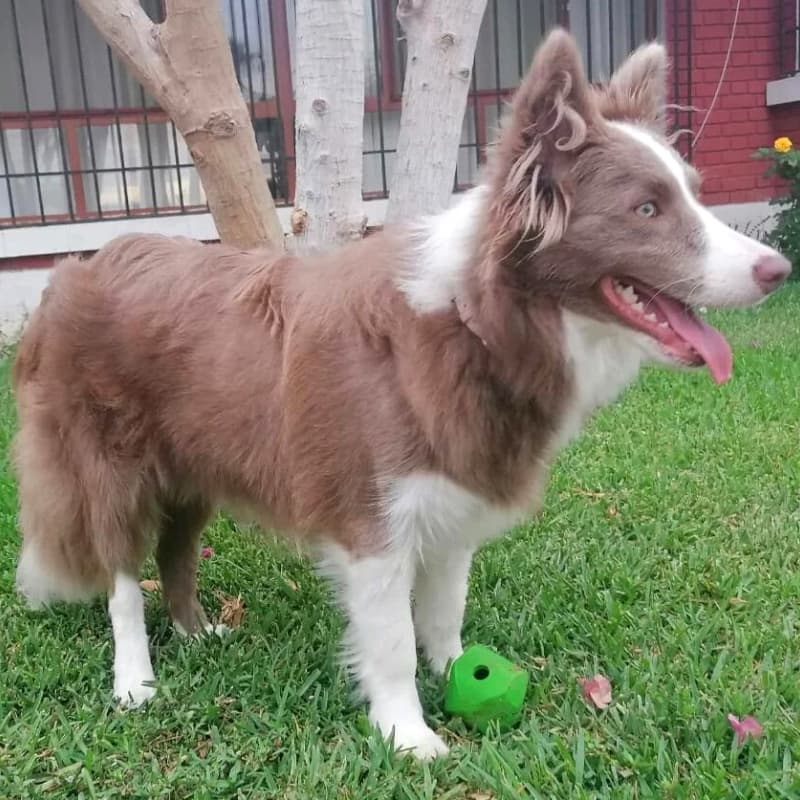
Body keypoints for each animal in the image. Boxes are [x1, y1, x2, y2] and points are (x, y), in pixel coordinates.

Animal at [10, 29, 788, 756]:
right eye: (647, 209)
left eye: (694, 195)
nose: (777, 269)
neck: (477, 325)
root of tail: (78, 270)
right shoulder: (371, 524)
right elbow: (387, 643)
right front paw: (407, 736)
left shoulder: (453, 503)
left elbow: (444, 612)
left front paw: (455, 672)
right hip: (111, 468)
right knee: (121, 580)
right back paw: (135, 681)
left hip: (196, 464)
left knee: (174, 554)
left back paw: (197, 633)